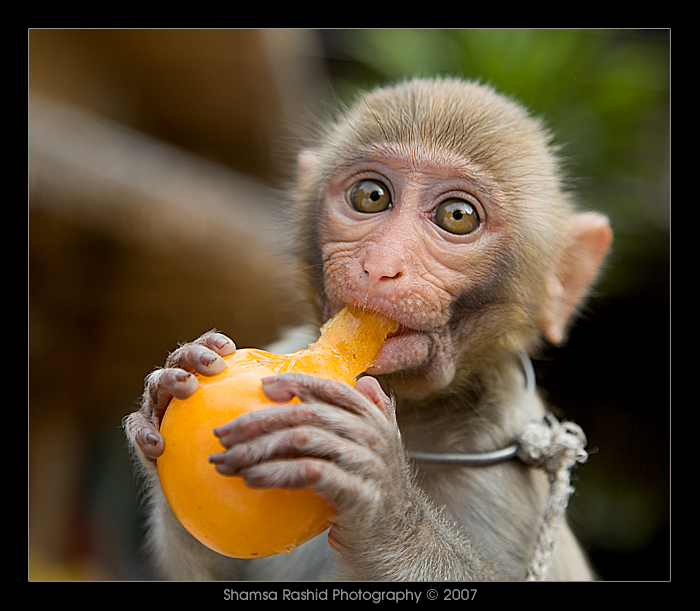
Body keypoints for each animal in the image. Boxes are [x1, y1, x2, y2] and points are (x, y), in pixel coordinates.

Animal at [124, 79, 612, 580]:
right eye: (371, 196)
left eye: (458, 217)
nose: (379, 266)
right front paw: (171, 381)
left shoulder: (506, 490)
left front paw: (384, 501)